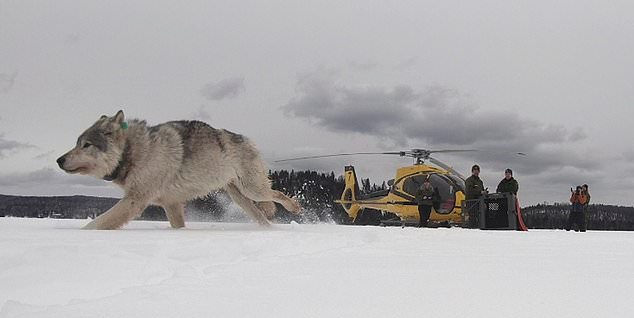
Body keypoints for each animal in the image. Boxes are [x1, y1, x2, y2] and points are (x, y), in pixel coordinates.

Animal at [56, 110, 298, 230]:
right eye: (77, 143)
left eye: (86, 145)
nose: (59, 160)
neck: (133, 151)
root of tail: (246, 138)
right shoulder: (171, 203)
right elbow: (178, 227)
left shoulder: (135, 200)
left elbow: (96, 224)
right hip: (240, 198)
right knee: (263, 216)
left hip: (252, 190)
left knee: (277, 194)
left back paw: (295, 208)